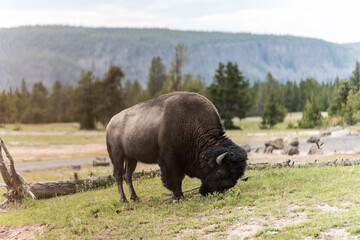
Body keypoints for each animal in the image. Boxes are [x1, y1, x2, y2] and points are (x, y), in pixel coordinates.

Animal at [106, 92, 248, 202]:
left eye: (237, 176)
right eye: (220, 172)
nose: (220, 190)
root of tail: (110, 123)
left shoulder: (181, 161)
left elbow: (180, 179)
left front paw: (180, 195)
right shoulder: (169, 160)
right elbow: (174, 178)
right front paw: (178, 197)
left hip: (131, 158)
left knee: (128, 175)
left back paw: (135, 198)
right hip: (117, 156)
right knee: (118, 175)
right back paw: (124, 199)